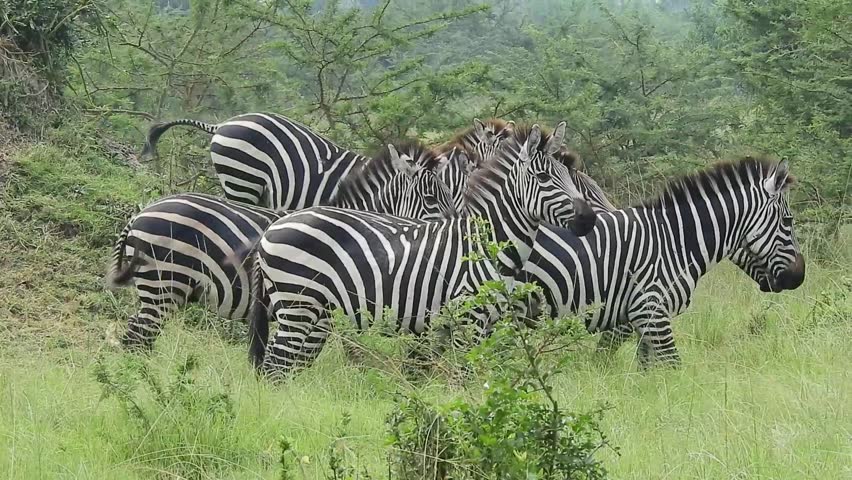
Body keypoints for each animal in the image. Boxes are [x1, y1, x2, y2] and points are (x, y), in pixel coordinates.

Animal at [247, 122, 600, 378]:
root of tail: (271, 228)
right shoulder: (468, 320)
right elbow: (465, 379)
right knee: (276, 368)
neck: (485, 243)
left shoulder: (476, 324)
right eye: (543, 177)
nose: (588, 219)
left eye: (569, 174)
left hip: (314, 312)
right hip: (298, 306)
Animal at [520, 156, 805, 367]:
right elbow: (671, 367)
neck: (676, 241)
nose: (799, 276)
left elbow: (646, 371)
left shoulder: (640, 320)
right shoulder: (649, 310)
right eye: (788, 221)